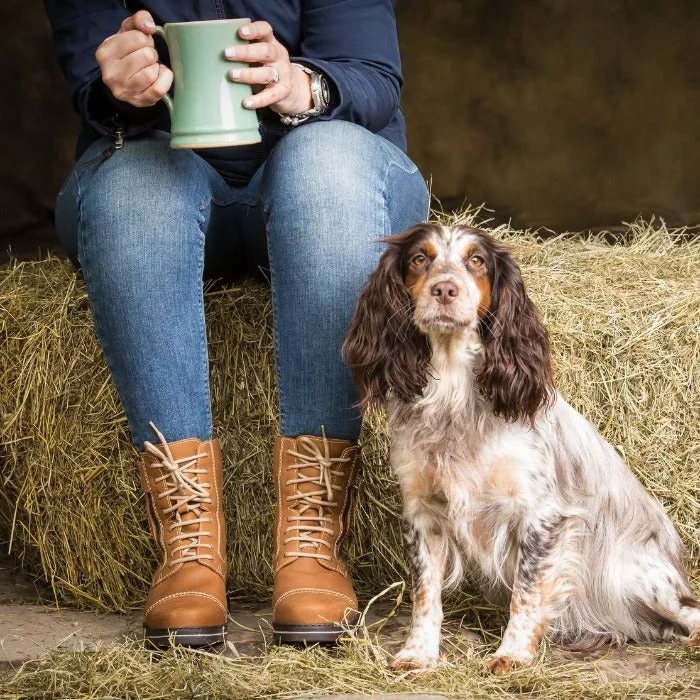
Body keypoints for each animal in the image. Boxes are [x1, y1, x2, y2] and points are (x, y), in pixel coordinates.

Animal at [344, 223, 700, 672]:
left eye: (477, 260)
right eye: (420, 259)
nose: (444, 290)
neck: (456, 394)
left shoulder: (541, 515)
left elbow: (526, 593)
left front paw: (511, 654)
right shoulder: (424, 513)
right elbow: (425, 593)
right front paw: (417, 653)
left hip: (638, 576)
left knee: (690, 610)